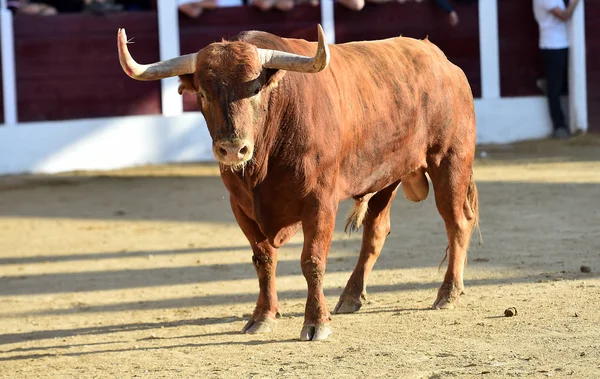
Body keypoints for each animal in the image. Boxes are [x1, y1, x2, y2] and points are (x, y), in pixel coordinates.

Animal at [117, 25, 480, 342]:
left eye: (255, 89)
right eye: (204, 94)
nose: (233, 149)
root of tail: (444, 63)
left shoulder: (319, 202)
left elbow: (312, 261)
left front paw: (316, 323)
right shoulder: (241, 207)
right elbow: (263, 260)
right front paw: (262, 317)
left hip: (449, 161)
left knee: (457, 222)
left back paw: (448, 293)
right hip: (386, 176)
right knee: (376, 232)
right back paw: (351, 296)